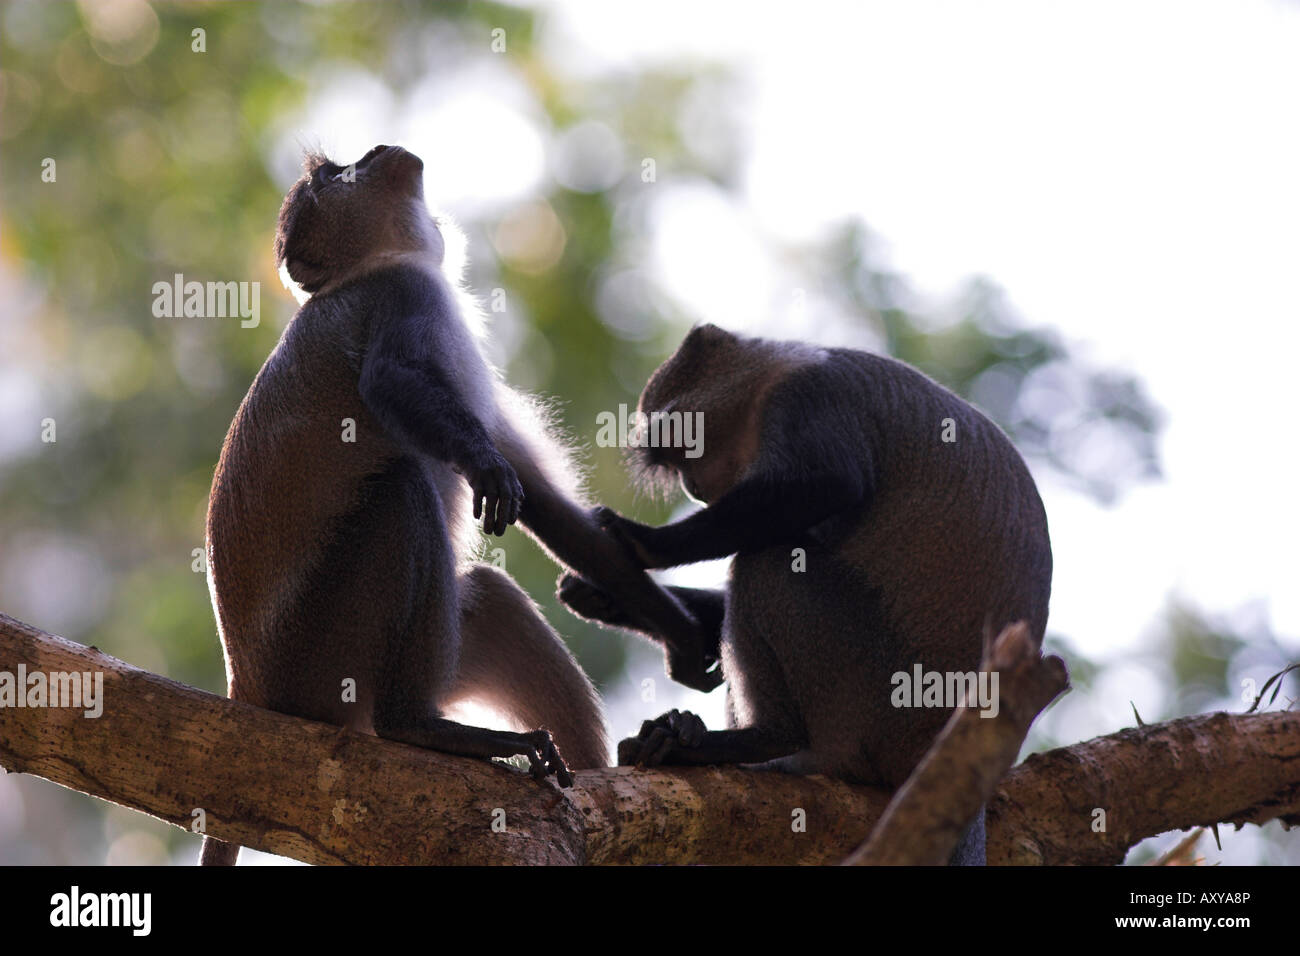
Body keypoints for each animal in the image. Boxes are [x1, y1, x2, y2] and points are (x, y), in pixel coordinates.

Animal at [198, 144, 717, 866]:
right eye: (337, 174)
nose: (378, 153)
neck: (375, 266)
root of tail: (246, 685)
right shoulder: (404, 296)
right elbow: (393, 383)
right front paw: (485, 466)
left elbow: (552, 511)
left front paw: (682, 635)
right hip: (320, 656)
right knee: (400, 493)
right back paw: (415, 727)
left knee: (493, 599)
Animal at [558, 322, 1053, 865]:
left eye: (684, 444)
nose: (690, 485)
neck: (772, 374)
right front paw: (608, 599)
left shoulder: (807, 398)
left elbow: (830, 482)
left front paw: (641, 542)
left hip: (871, 697)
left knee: (769, 564)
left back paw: (750, 743)